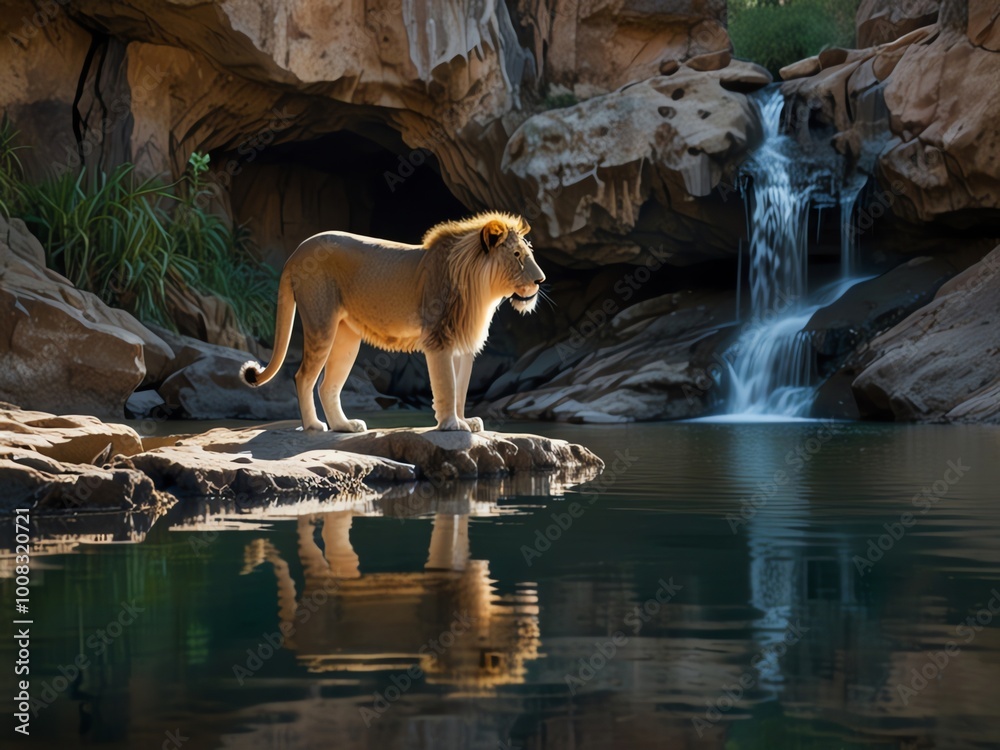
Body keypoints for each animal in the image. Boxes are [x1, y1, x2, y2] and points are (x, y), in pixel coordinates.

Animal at [239, 212, 545, 432]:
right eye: (517, 255)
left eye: (527, 252)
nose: (540, 280)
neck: (481, 291)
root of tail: (297, 251)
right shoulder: (438, 338)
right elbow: (447, 384)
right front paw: (451, 425)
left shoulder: (463, 344)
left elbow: (461, 387)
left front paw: (465, 420)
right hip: (321, 322)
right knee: (303, 376)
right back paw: (314, 426)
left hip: (346, 337)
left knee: (328, 385)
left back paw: (344, 426)